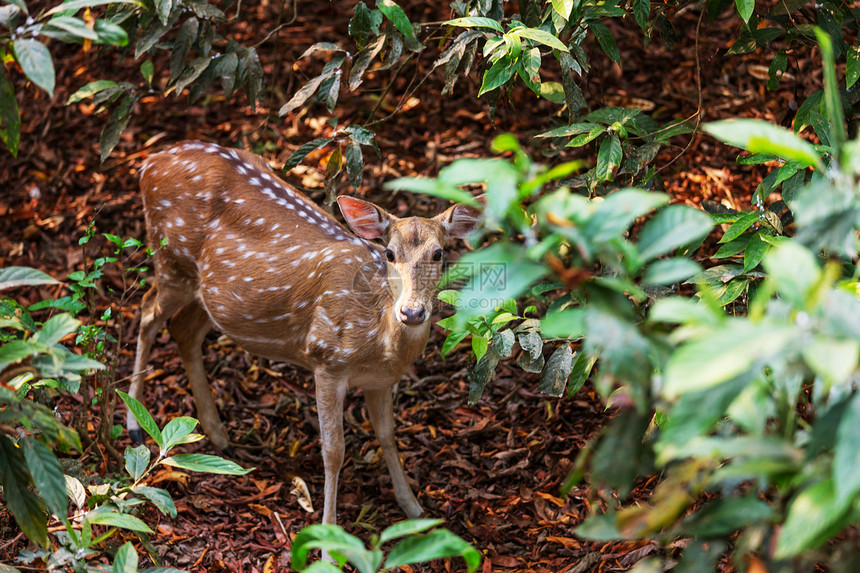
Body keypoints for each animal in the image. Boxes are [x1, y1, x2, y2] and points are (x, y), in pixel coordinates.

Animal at [131, 142, 484, 524]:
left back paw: (217, 433)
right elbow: (334, 449)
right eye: (390, 253)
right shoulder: (326, 359)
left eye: (439, 253)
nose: (412, 311)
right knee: (147, 313)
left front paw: (414, 508)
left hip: (207, 293)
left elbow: (388, 435)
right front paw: (329, 529)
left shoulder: (380, 380)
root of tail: (150, 162)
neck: (379, 342)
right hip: (171, 259)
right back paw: (134, 422)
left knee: (184, 329)